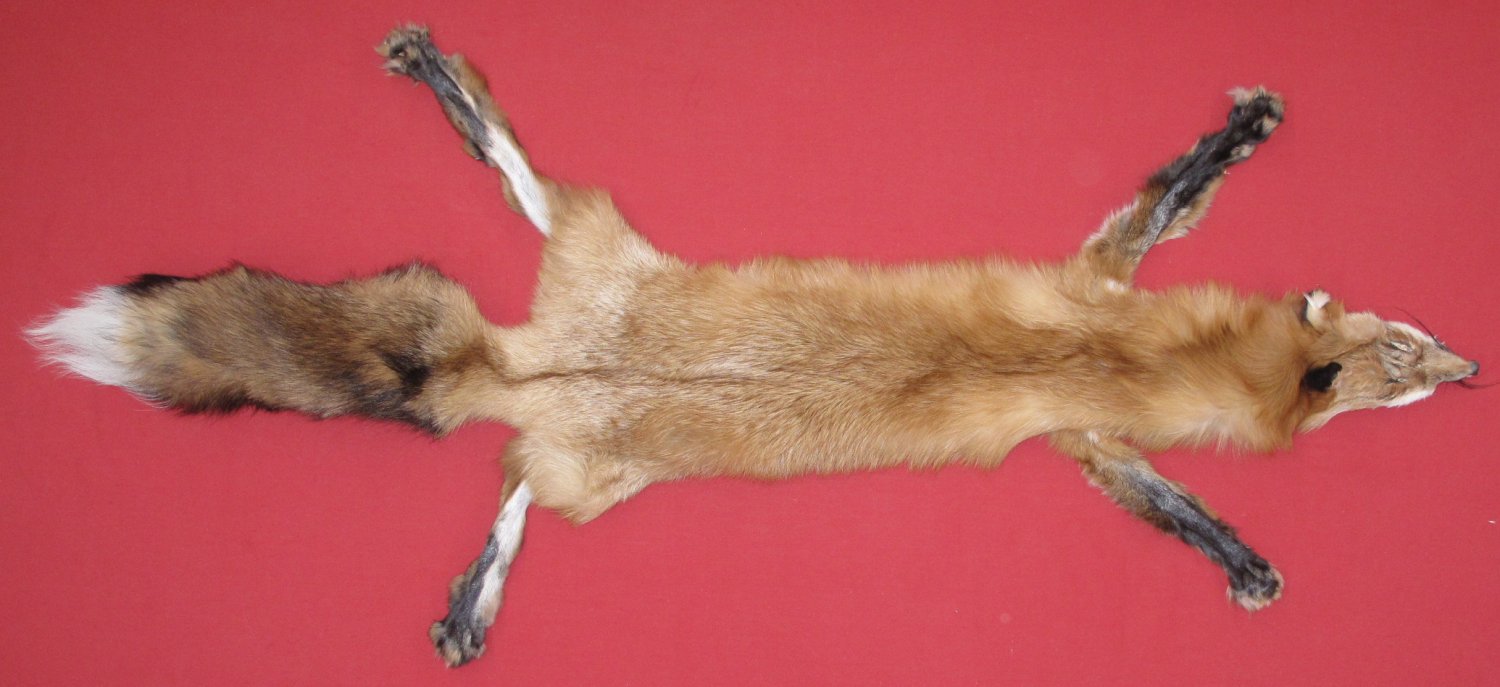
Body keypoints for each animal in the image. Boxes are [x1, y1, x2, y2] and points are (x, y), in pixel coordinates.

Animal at [25, 26, 1480, 668]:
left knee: (510, 468)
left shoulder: (1090, 402)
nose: (1474, 372)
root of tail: (517, 368)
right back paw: (454, 86)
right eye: (1406, 364)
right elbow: (1174, 208)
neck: (1139, 360)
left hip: (588, 420)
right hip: (599, 316)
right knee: (532, 200)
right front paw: (1240, 137)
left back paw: (472, 595)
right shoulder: (1099, 310)